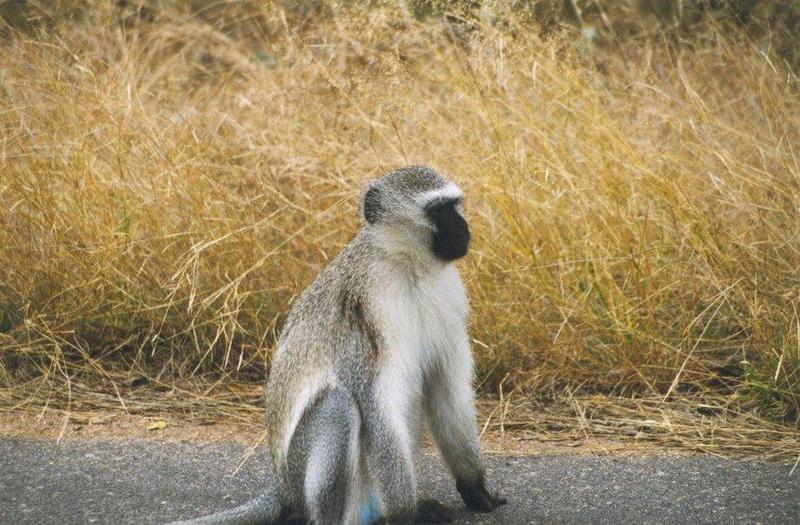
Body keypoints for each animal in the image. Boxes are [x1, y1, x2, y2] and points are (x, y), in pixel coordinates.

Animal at [172, 167, 504, 524]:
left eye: (454, 206)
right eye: (438, 211)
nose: (463, 227)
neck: (408, 267)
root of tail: (284, 489)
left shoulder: (448, 297)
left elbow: (447, 389)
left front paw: (475, 488)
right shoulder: (367, 309)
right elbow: (376, 404)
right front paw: (407, 514)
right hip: (301, 472)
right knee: (337, 405)